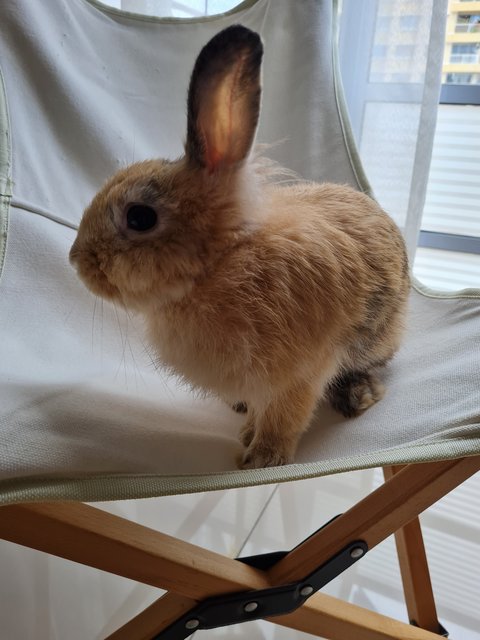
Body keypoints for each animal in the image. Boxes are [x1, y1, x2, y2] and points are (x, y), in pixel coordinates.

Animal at [70, 25, 408, 470]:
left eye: (140, 217)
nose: (76, 260)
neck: (220, 265)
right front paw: (248, 433)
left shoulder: (301, 372)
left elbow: (285, 415)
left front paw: (262, 457)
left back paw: (358, 396)